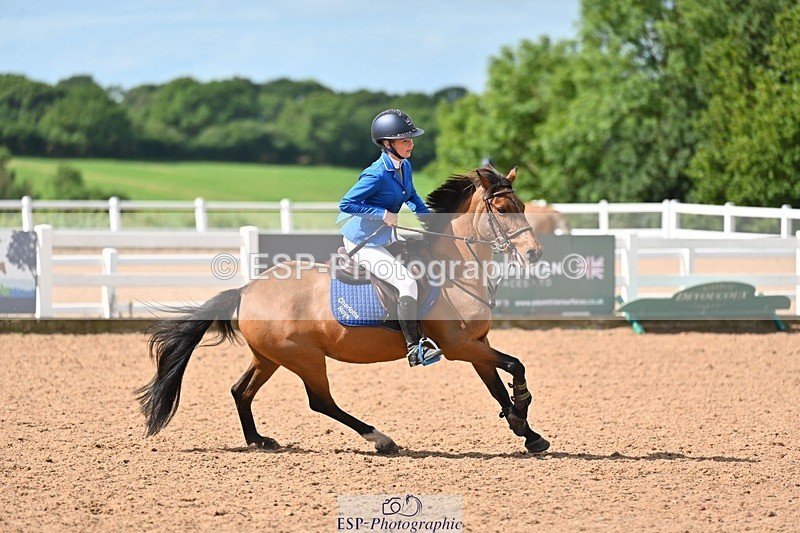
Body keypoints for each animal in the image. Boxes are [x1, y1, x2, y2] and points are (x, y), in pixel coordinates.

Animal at [136, 166, 551, 454]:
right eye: (502, 209)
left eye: (523, 206)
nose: (534, 253)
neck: (455, 266)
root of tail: (247, 290)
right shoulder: (459, 347)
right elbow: (516, 366)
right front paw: (522, 414)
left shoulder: (477, 343)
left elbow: (498, 385)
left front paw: (526, 431)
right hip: (304, 358)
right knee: (321, 402)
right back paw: (381, 439)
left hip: (269, 356)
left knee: (242, 390)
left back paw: (259, 439)